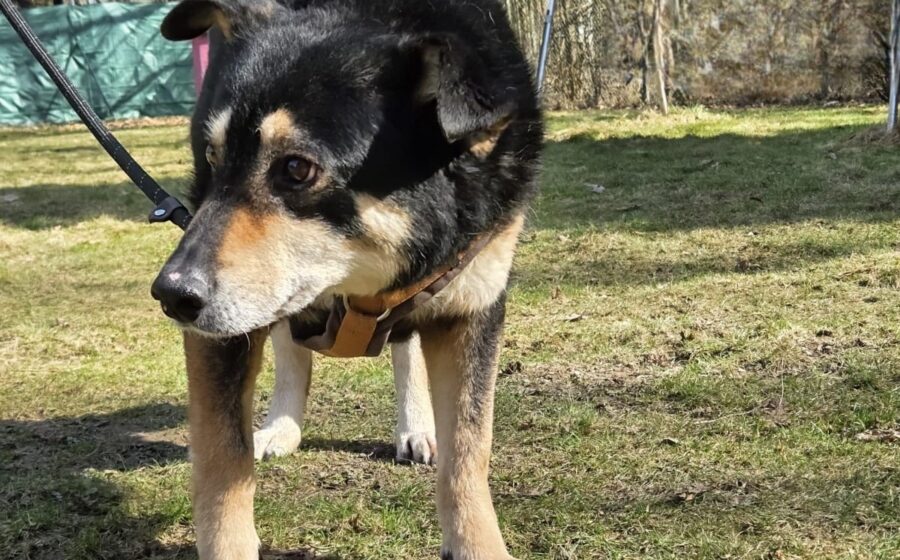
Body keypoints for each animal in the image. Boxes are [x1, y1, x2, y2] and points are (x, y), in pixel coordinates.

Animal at [151, 1, 542, 558]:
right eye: (212, 156)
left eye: (297, 168)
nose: (171, 294)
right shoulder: (219, 334)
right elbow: (222, 457)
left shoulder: (472, 305)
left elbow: (469, 451)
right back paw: (282, 426)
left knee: (404, 347)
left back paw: (416, 426)